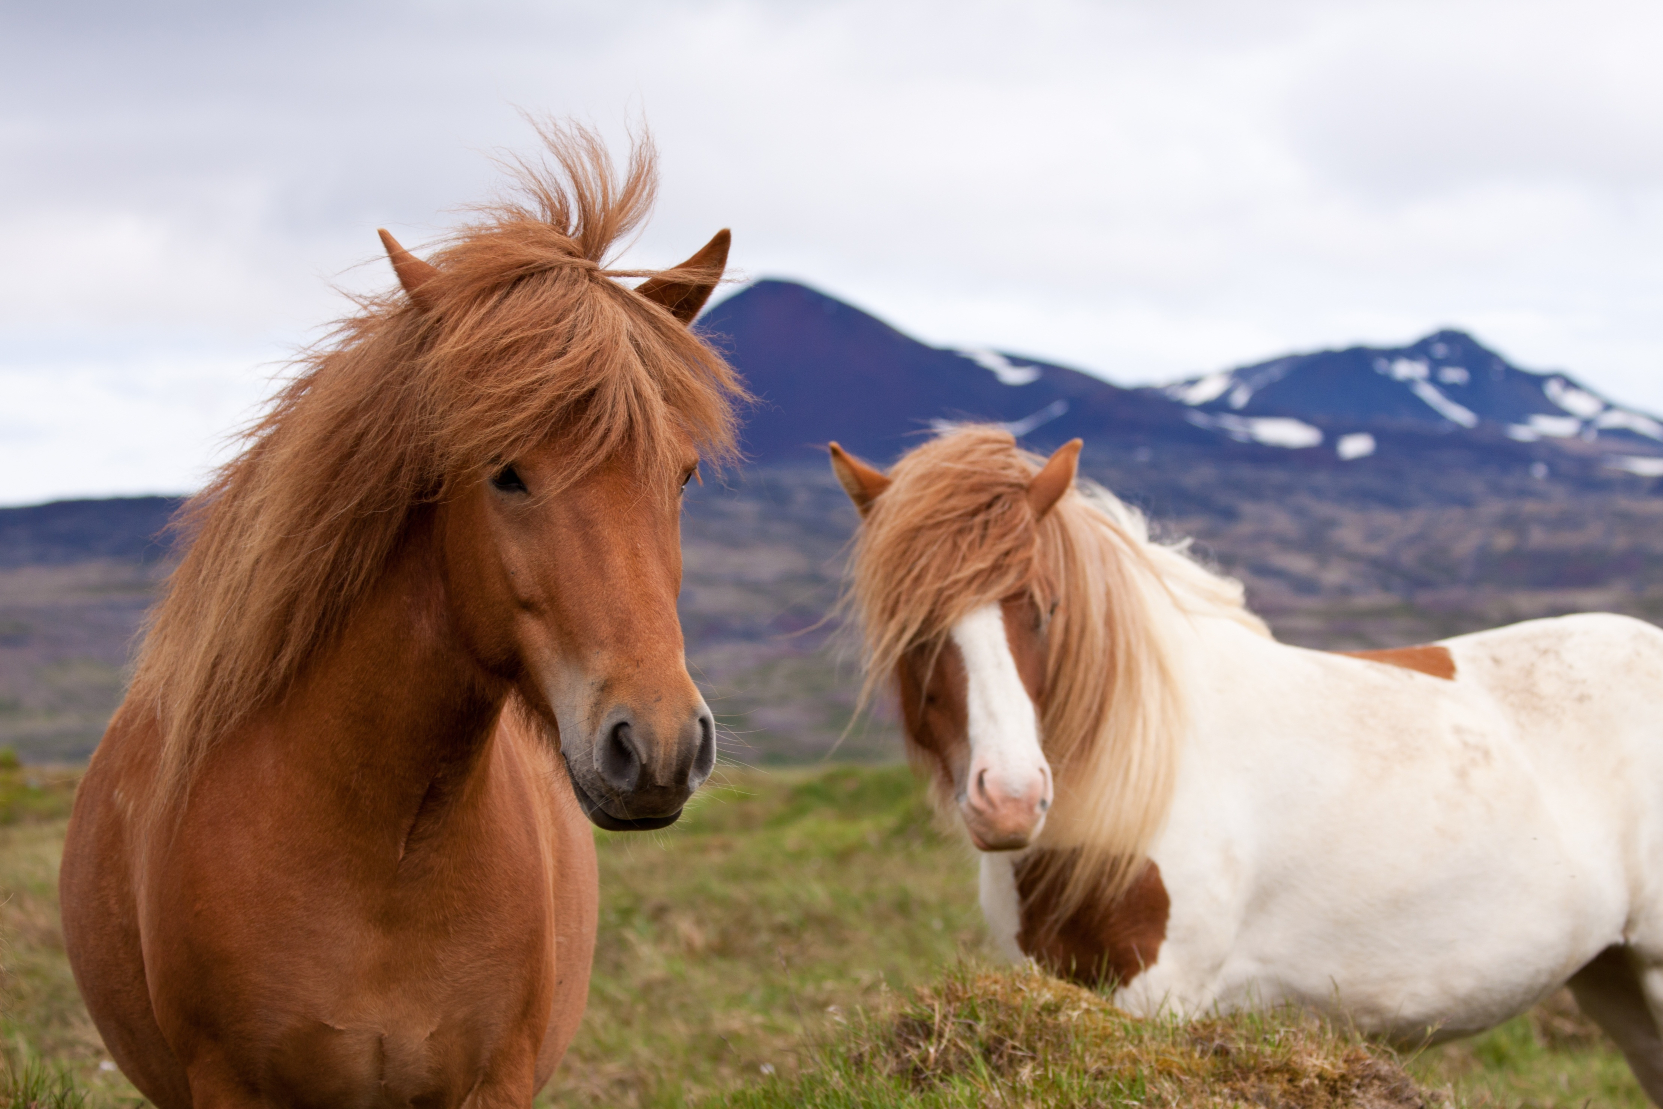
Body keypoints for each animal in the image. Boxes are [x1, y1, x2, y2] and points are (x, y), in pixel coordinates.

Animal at [830, 424, 1663, 1104]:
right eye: (912, 628)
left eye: (1044, 607)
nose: (1008, 799)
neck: (1137, 779)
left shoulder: (1161, 996)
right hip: (1612, 976)